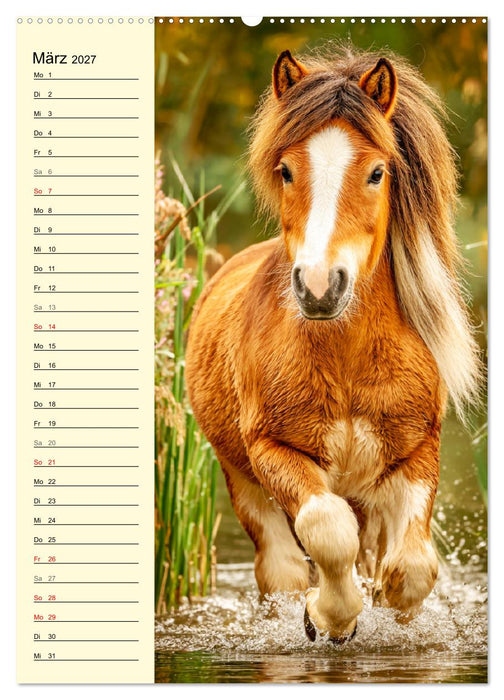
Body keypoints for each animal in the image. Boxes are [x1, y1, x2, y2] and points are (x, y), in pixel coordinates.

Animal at [185, 45, 482, 643]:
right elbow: (327, 529)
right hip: (244, 484)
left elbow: (412, 568)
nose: (320, 286)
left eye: (377, 172)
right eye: (285, 170)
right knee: (281, 565)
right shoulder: (276, 451)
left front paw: (388, 611)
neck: (346, 359)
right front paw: (327, 616)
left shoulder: (417, 452)